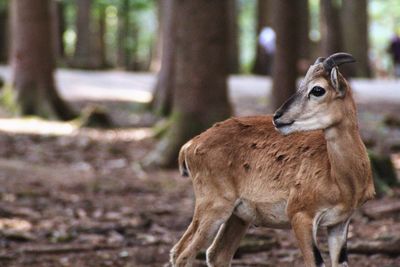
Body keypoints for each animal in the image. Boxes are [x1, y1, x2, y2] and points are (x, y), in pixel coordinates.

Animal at [170, 52, 376, 267]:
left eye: (317, 89)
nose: (277, 116)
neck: (342, 179)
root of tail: (190, 145)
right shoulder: (300, 215)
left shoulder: (339, 223)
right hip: (213, 205)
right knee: (182, 253)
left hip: (237, 216)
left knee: (216, 254)